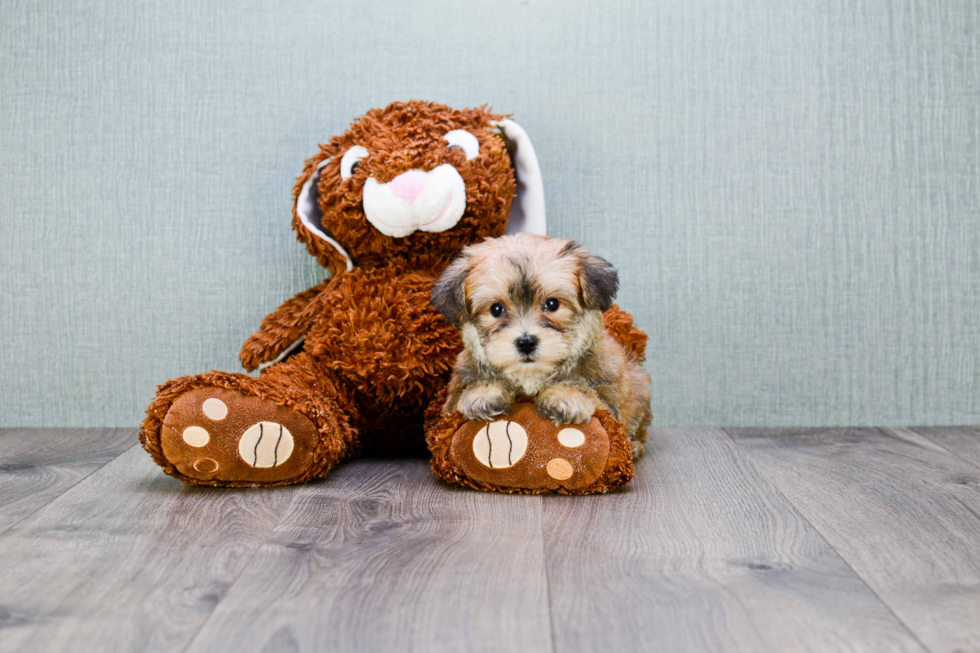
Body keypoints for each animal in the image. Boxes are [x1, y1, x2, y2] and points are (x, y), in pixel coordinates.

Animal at [430, 232, 652, 450]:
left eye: (552, 304)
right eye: (496, 309)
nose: (526, 342)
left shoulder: (610, 400)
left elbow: (593, 395)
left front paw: (565, 394)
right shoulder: (450, 403)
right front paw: (484, 392)